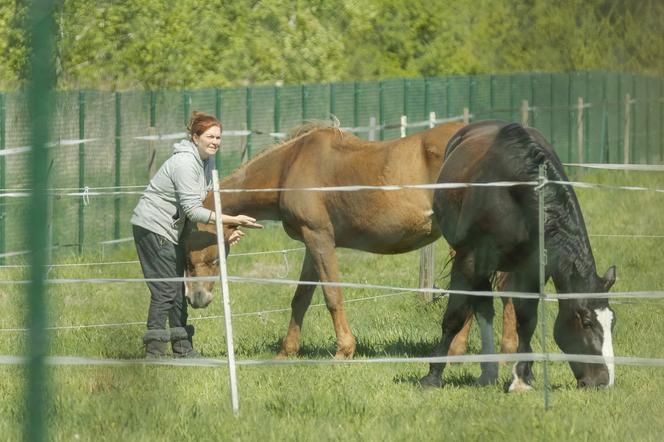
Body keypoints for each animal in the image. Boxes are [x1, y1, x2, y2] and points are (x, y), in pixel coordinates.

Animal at [182, 121, 520, 360]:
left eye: (196, 255)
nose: (196, 299)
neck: (289, 167)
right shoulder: (312, 244)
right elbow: (301, 298)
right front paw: (287, 351)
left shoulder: (320, 239)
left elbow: (332, 295)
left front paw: (344, 350)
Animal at [420, 121, 616, 390]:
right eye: (586, 322)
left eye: (612, 322)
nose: (604, 381)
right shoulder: (469, 260)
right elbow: (454, 317)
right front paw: (432, 376)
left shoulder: (532, 269)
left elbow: (526, 320)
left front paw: (523, 377)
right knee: (481, 308)